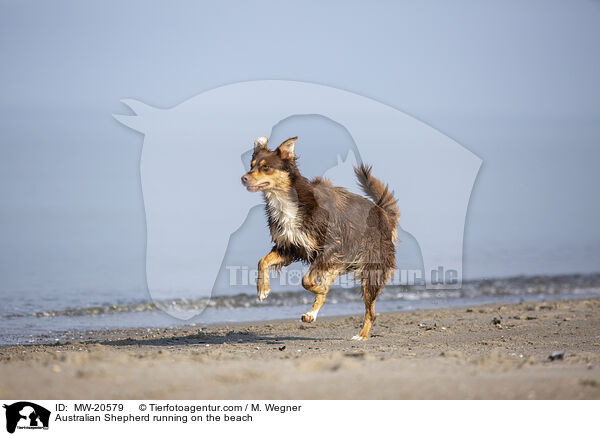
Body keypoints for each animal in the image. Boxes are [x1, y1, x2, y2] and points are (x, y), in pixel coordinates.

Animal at [239, 136, 398, 340]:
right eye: (251, 166)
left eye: (266, 167)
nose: (244, 178)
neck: (287, 201)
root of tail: (384, 214)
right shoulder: (290, 246)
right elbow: (263, 261)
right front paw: (262, 290)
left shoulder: (330, 248)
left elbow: (305, 280)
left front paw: (317, 287)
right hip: (337, 264)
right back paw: (311, 314)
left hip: (371, 268)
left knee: (371, 311)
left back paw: (361, 335)